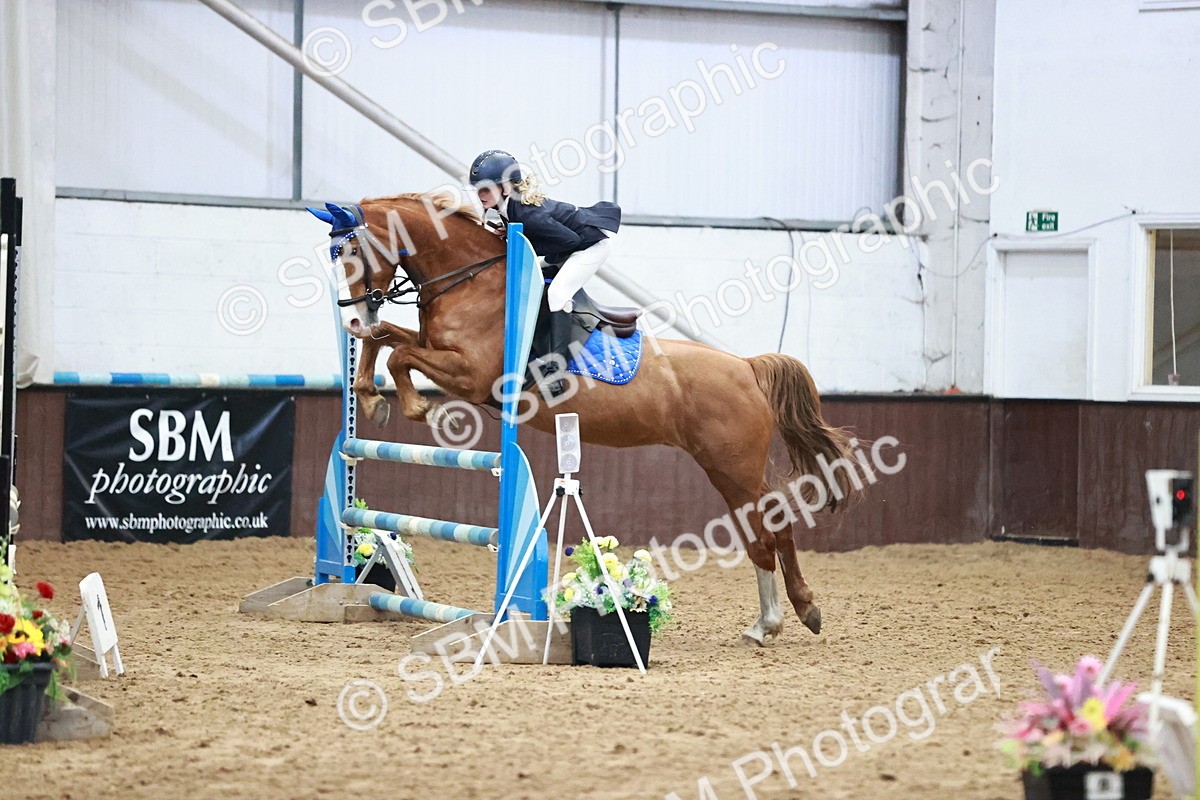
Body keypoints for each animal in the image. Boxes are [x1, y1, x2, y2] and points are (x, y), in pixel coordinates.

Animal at [312, 192, 860, 645]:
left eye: (353, 253)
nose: (349, 319)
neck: (469, 279)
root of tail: (747, 367)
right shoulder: (437, 350)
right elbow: (387, 338)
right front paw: (369, 395)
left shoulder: (472, 376)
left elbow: (401, 354)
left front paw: (411, 405)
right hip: (730, 467)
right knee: (771, 525)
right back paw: (791, 615)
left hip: (732, 466)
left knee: (767, 528)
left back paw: (774, 621)